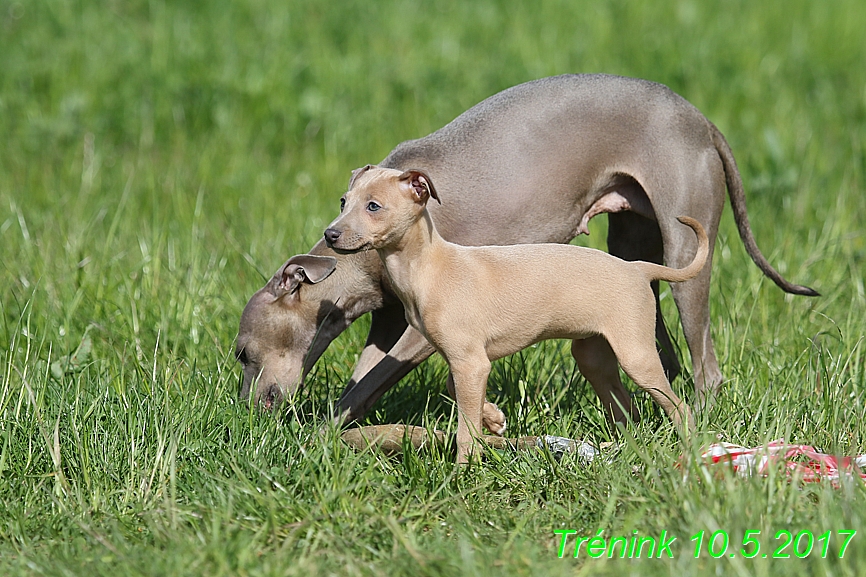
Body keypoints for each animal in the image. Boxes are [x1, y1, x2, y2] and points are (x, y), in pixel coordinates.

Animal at [320, 164, 704, 462]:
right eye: (343, 202)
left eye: (374, 206)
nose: (330, 234)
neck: (427, 267)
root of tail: (637, 268)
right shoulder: (464, 361)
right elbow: (453, 388)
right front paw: (493, 418)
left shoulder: (470, 362)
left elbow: (465, 429)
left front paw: (464, 473)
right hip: (593, 354)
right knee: (627, 409)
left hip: (635, 353)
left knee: (678, 406)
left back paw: (689, 444)